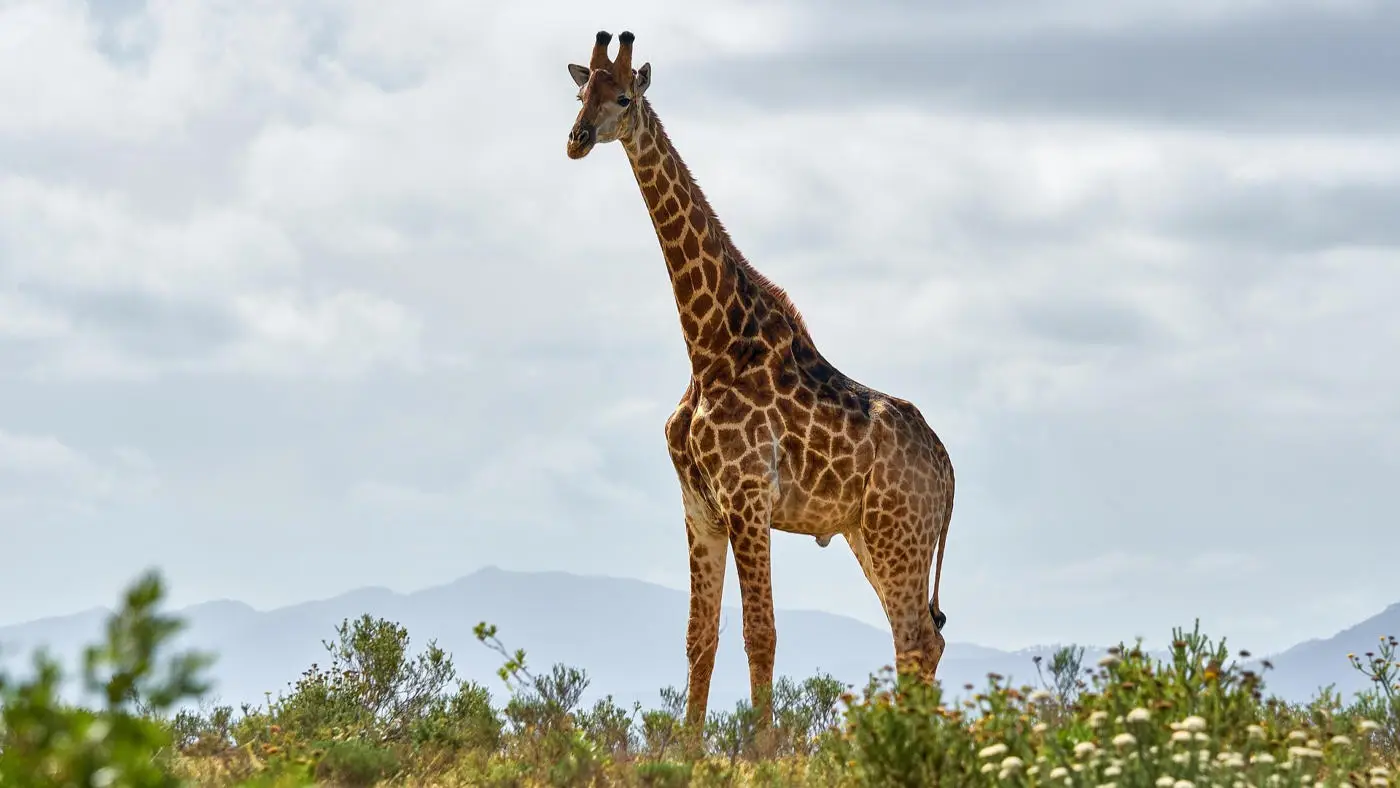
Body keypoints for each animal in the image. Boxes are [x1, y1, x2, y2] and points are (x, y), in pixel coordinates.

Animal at [565, 30, 952, 744]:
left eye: (624, 97)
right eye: (581, 92)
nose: (577, 139)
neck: (707, 343)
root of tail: (948, 469)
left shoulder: (748, 499)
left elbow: (760, 634)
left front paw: (762, 752)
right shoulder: (699, 507)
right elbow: (701, 638)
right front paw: (686, 752)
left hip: (899, 533)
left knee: (916, 638)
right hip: (869, 534)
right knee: (921, 638)